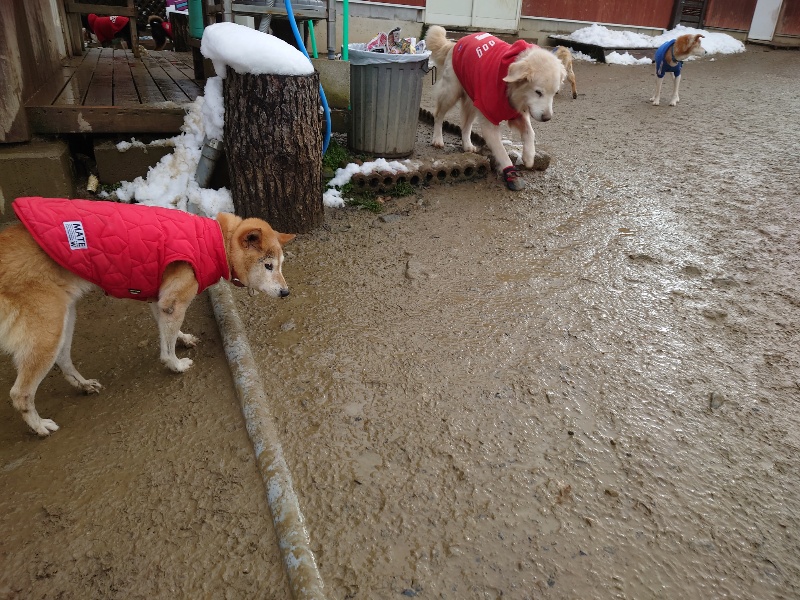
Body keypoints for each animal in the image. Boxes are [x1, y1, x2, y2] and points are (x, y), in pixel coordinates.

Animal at [0, 197, 295, 436]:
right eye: (268, 266)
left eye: (280, 265)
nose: (286, 292)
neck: (216, 241)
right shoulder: (173, 302)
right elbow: (166, 348)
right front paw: (175, 365)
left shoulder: (161, 299)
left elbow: (169, 332)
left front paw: (182, 338)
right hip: (46, 332)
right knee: (19, 393)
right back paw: (40, 427)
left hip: (63, 321)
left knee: (63, 359)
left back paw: (83, 385)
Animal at [425, 25, 566, 191]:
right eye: (538, 92)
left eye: (555, 93)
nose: (547, 118)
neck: (509, 87)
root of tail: (456, 43)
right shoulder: (489, 122)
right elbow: (502, 153)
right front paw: (511, 173)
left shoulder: (516, 113)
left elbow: (530, 132)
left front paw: (529, 156)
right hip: (451, 93)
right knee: (438, 115)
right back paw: (437, 139)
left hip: (473, 100)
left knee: (466, 126)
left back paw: (467, 145)